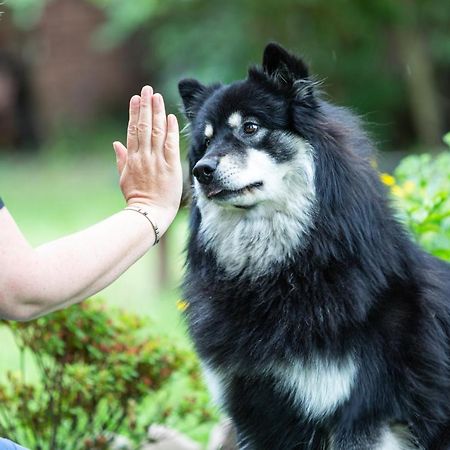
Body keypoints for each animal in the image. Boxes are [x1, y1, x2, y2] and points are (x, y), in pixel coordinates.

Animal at [178, 43, 450, 450]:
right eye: (207, 141)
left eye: (251, 128)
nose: (202, 171)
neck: (277, 275)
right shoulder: (256, 416)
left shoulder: (362, 415)